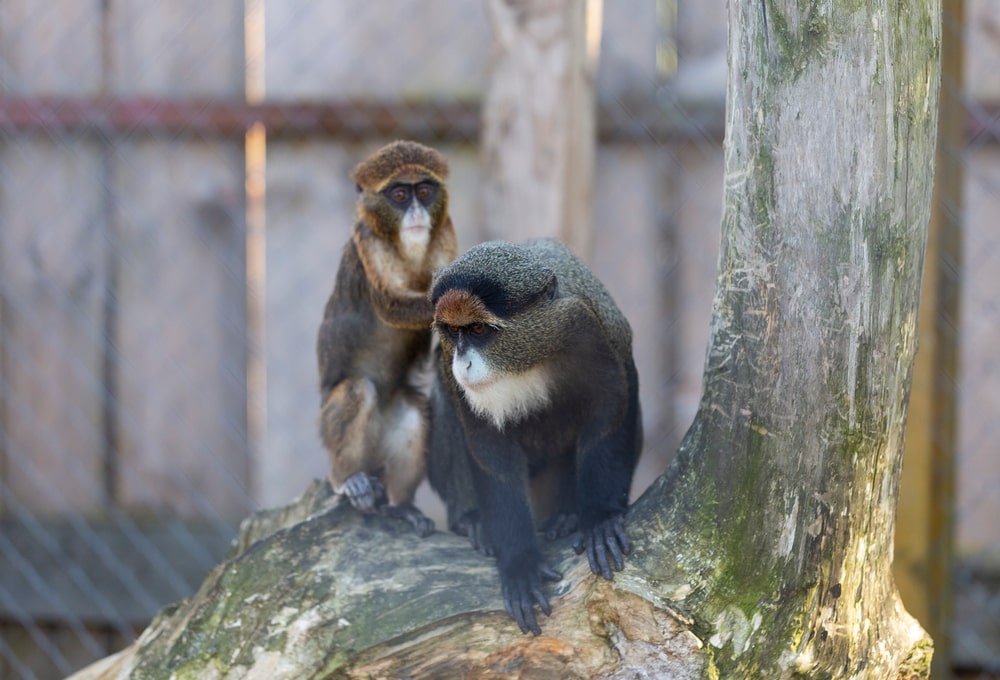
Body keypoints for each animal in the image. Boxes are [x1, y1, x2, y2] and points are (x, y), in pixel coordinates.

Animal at [317, 140, 458, 537]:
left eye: (423, 192)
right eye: (398, 195)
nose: (416, 213)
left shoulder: (444, 228)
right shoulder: (369, 239)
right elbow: (392, 305)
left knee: (415, 411)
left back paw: (403, 506)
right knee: (356, 390)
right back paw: (348, 479)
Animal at [426, 238, 642, 634]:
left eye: (478, 331)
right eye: (453, 331)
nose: (463, 363)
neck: (524, 359)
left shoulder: (583, 325)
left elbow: (609, 411)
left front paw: (600, 518)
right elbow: (493, 458)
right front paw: (520, 564)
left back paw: (566, 516)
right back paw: (473, 520)